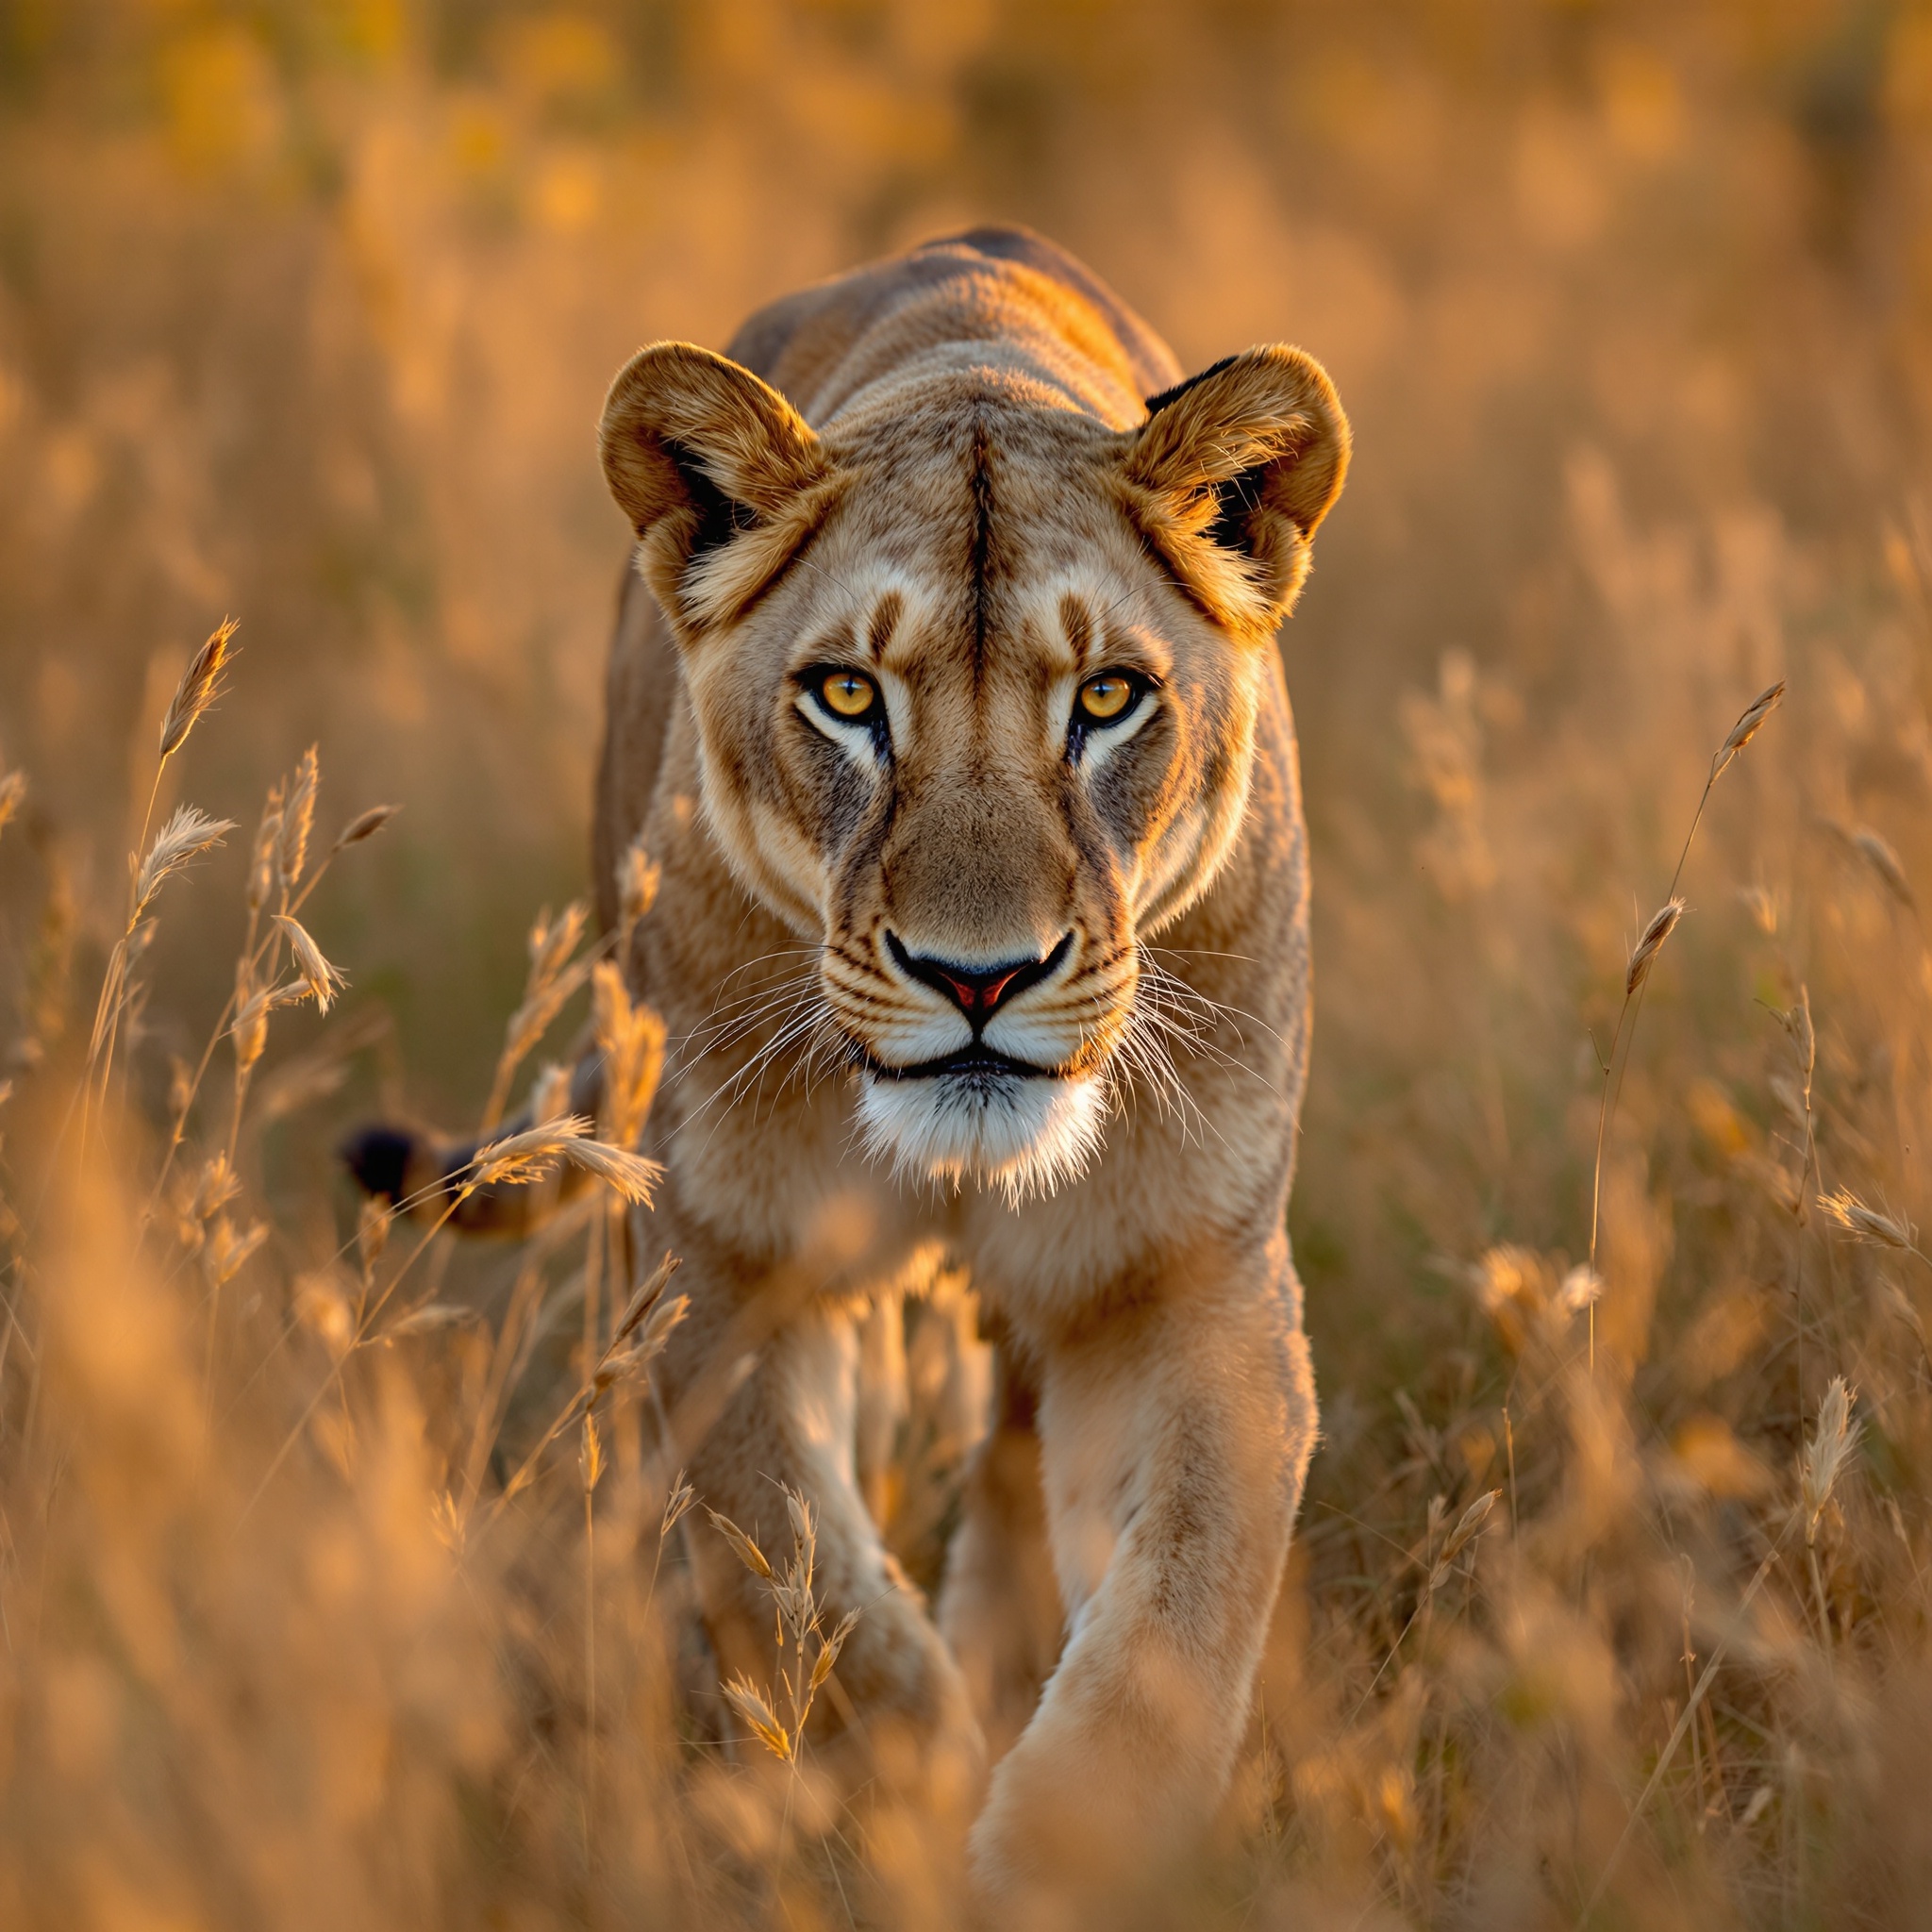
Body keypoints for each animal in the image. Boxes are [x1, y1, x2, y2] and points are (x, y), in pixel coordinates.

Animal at [350, 225, 1347, 1907]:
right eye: (847, 696)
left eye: (1106, 698)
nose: (978, 976)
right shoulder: (722, 1261)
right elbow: (797, 1573)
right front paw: (910, 1798)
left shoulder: (1185, 1272)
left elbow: (1172, 1621)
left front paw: (1050, 1858)